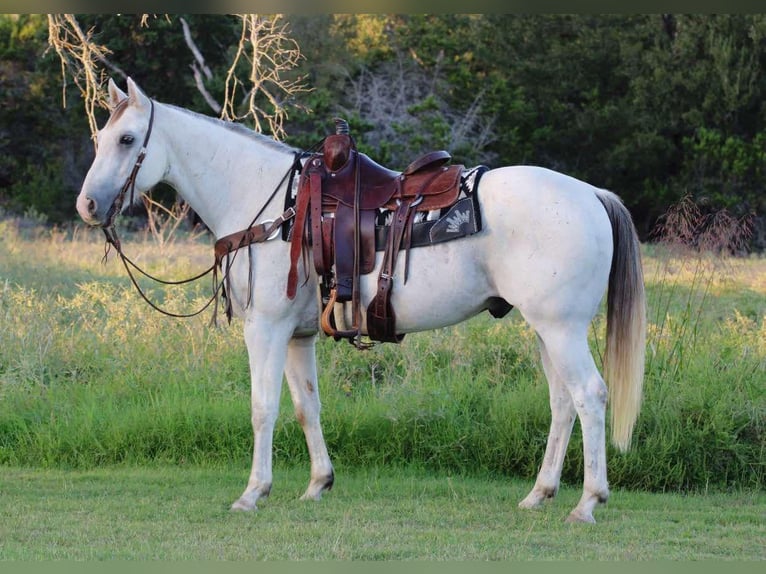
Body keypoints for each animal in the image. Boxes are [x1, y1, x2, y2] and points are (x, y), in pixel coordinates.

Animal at [76, 77, 645, 524]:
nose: (87, 206)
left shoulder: (265, 328)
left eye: (127, 139)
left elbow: (264, 408)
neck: (272, 204)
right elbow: (306, 406)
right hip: (547, 331)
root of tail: (591, 194)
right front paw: (317, 484)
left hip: (561, 329)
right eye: (99, 138)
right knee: (562, 403)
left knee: (589, 396)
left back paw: (588, 502)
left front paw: (253, 493)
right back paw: (539, 494)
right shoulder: (297, 336)